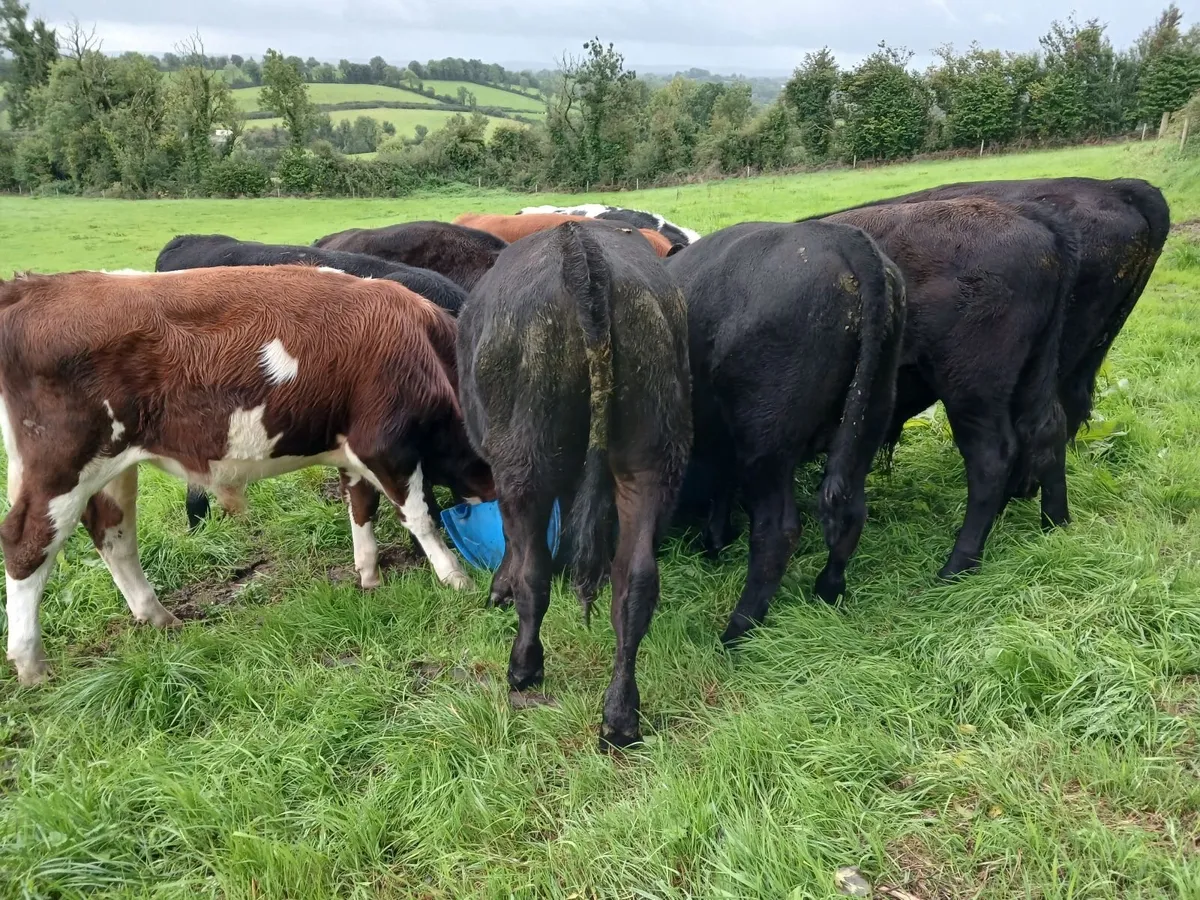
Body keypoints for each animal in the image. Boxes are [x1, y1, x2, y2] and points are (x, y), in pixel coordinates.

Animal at [0, 266, 495, 686]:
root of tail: (34, 286)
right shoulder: (386, 445)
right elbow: (420, 515)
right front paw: (455, 577)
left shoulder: (353, 451)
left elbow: (361, 508)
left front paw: (369, 573)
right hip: (60, 467)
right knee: (25, 544)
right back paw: (30, 663)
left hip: (113, 467)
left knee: (114, 535)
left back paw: (157, 616)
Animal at [457, 220, 691, 750]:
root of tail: (579, 248)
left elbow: (515, 546)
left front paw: (499, 588)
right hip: (650, 459)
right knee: (635, 580)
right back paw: (620, 715)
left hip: (525, 461)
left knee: (534, 572)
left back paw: (524, 667)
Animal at [669, 222, 906, 645]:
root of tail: (839, 235)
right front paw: (715, 540)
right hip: (871, 414)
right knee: (851, 511)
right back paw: (828, 591)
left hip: (766, 443)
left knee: (777, 532)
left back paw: (736, 632)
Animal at [822, 199, 1081, 579]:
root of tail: (1035, 223)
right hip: (1034, 369)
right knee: (1046, 428)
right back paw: (1055, 525)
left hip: (969, 389)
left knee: (990, 457)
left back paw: (957, 566)